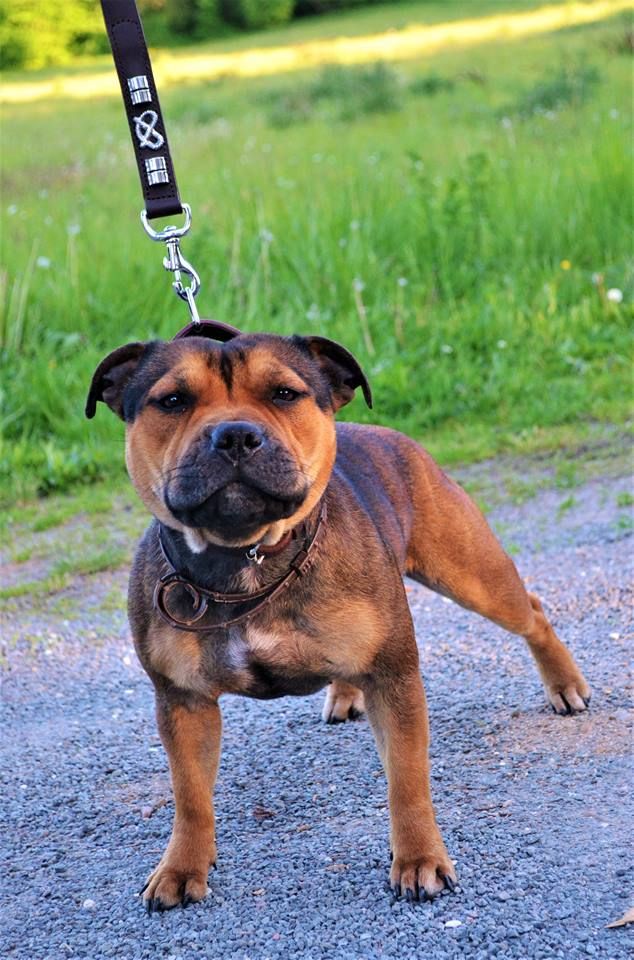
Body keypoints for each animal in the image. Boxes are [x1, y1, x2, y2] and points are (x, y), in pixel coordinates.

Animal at [86, 323, 590, 912]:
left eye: (284, 393)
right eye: (172, 401)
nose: (234, 435)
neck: (248, 557)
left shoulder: (393, 677)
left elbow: (407, 780)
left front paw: (419, 860)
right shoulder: (183, 701)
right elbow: (190, 796)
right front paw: (180, 868)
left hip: (473, 575)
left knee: (530, 611)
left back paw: (565, 685)